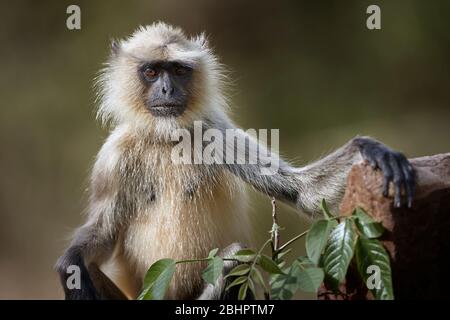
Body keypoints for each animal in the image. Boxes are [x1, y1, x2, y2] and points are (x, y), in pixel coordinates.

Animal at [55, 22, 414, 300]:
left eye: (179, 70)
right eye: (152, 71)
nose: (167, 89)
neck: (167, 138)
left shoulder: (214, 131)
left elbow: (303, 192)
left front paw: (369, 148)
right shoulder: (114, 155)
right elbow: (96, 242)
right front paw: (70, 264)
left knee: (234, 258)